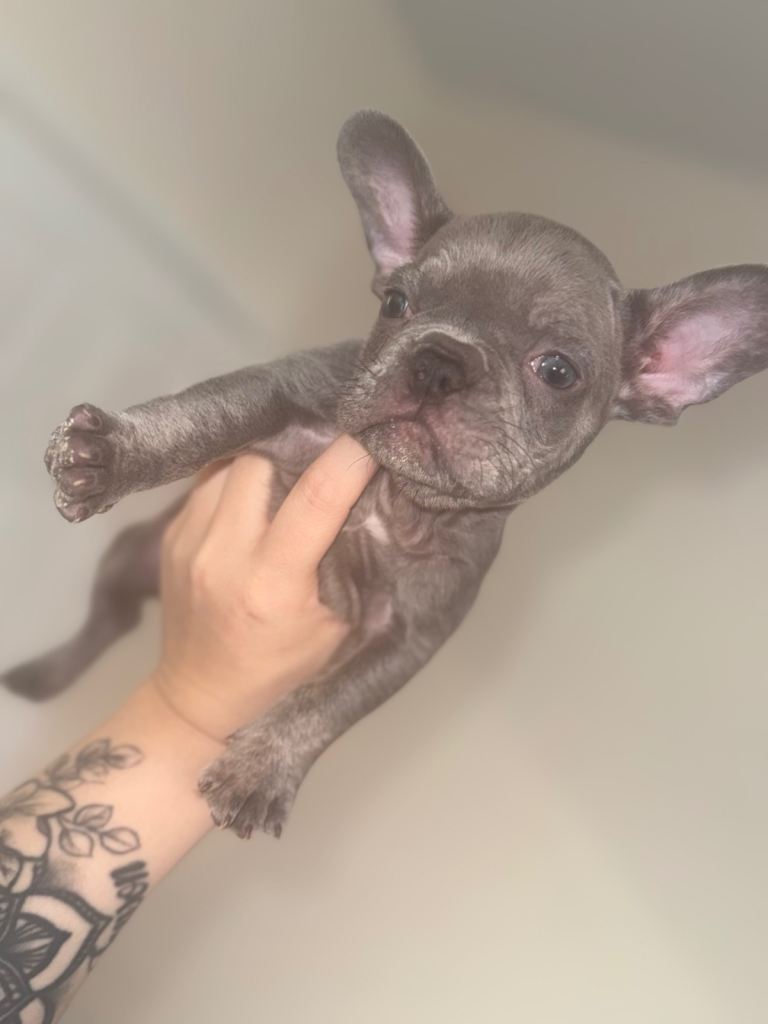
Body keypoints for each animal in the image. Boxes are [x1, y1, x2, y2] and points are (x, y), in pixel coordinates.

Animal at [4, 111, 767, 838]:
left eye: (557, 369)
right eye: (397, 303)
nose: (439, 361)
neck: (390, 493)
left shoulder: (408, 636)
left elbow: (334, 701)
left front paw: (262, 768)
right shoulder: (282, 391)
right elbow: (204, 416)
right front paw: (115, 454)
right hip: (128, 553)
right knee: (108, 616)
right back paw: (42, 675)